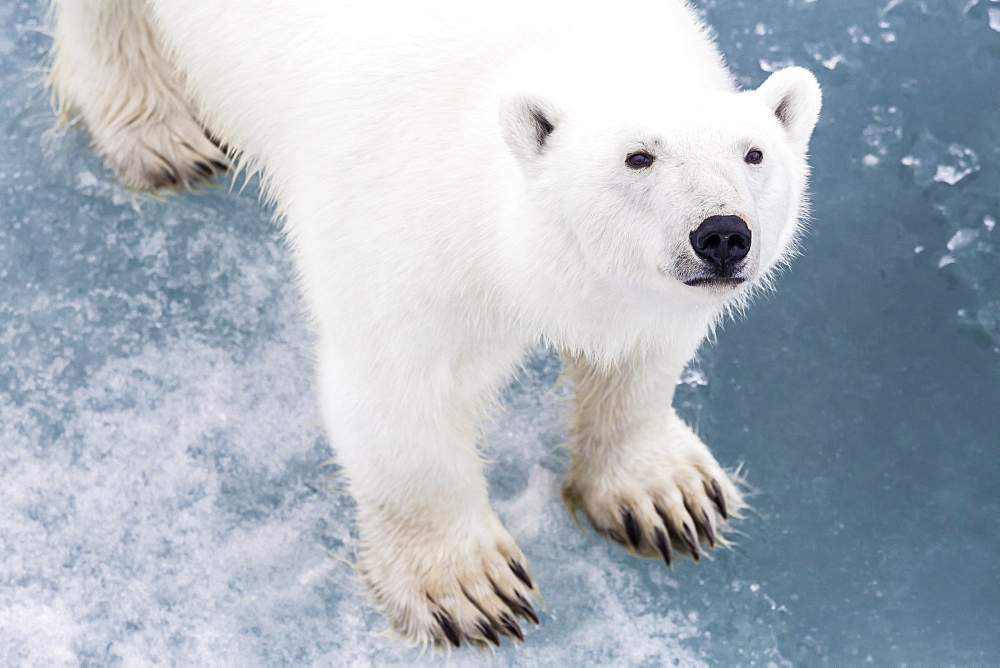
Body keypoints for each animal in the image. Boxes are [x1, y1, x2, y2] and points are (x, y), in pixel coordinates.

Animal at [48, 0, 820, 648]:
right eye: (638, 155)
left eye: (753, 153)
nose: (721, 235)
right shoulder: (407, 228)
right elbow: (399, 397)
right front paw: (467, 589)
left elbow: (642, 355)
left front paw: (667, 498)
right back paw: (154, 129)